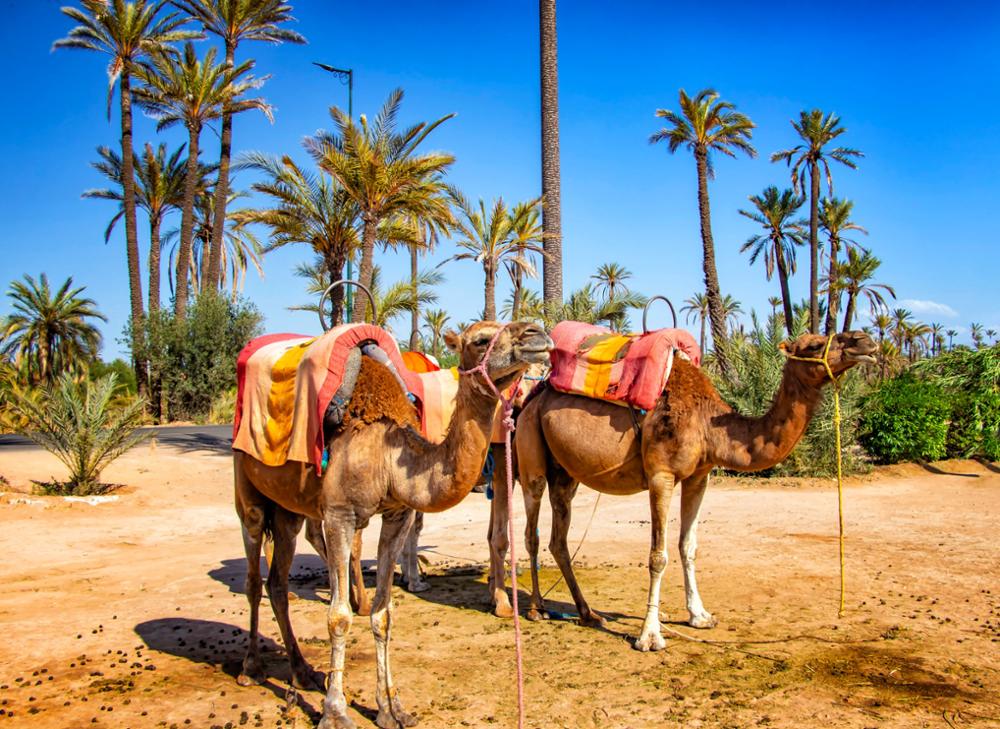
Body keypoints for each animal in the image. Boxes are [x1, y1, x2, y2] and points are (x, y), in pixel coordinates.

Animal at [232, 322, 556, 728]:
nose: (536, 334)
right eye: (482, 339)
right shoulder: (339, 514)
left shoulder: (397, 513)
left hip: (287, 508)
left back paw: (303, 671)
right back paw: (251, 667)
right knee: (252, 574)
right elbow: (338, 616)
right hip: (248, 488)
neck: (386, 453)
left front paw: (391, 707)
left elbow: (383, 614)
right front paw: (336, 712)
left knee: (277, 581)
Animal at [508, 332, 876, 652]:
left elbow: (688, 547)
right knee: (532, 531)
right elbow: (658, 556)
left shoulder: (700, 476)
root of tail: (532, 397)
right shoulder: (661, 475)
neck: (708, 422)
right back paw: (537, 608)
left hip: (565, 473)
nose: (866, 341)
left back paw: (588, 613)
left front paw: (700, 615)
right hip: (531, 451)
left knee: (558, 538)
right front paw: (650, 636)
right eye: (815, 344)